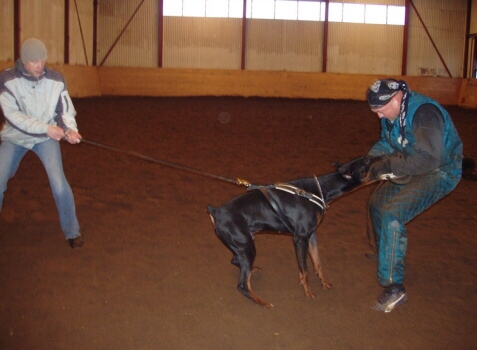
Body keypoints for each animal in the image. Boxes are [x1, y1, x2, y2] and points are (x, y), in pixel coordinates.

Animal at [206, 155, 378, 306]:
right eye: (367, 161)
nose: (380, 155)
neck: (320, 190)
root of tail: (216, 211)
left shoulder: (311, 234)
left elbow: (317, 262)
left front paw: (323, 282)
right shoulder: (300, 238)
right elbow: (306, 270)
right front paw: (308, 292)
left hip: (243, 243)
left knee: (236, 261)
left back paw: (252, 270)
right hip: (246, 246)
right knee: (242, 285)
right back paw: (262, 302)